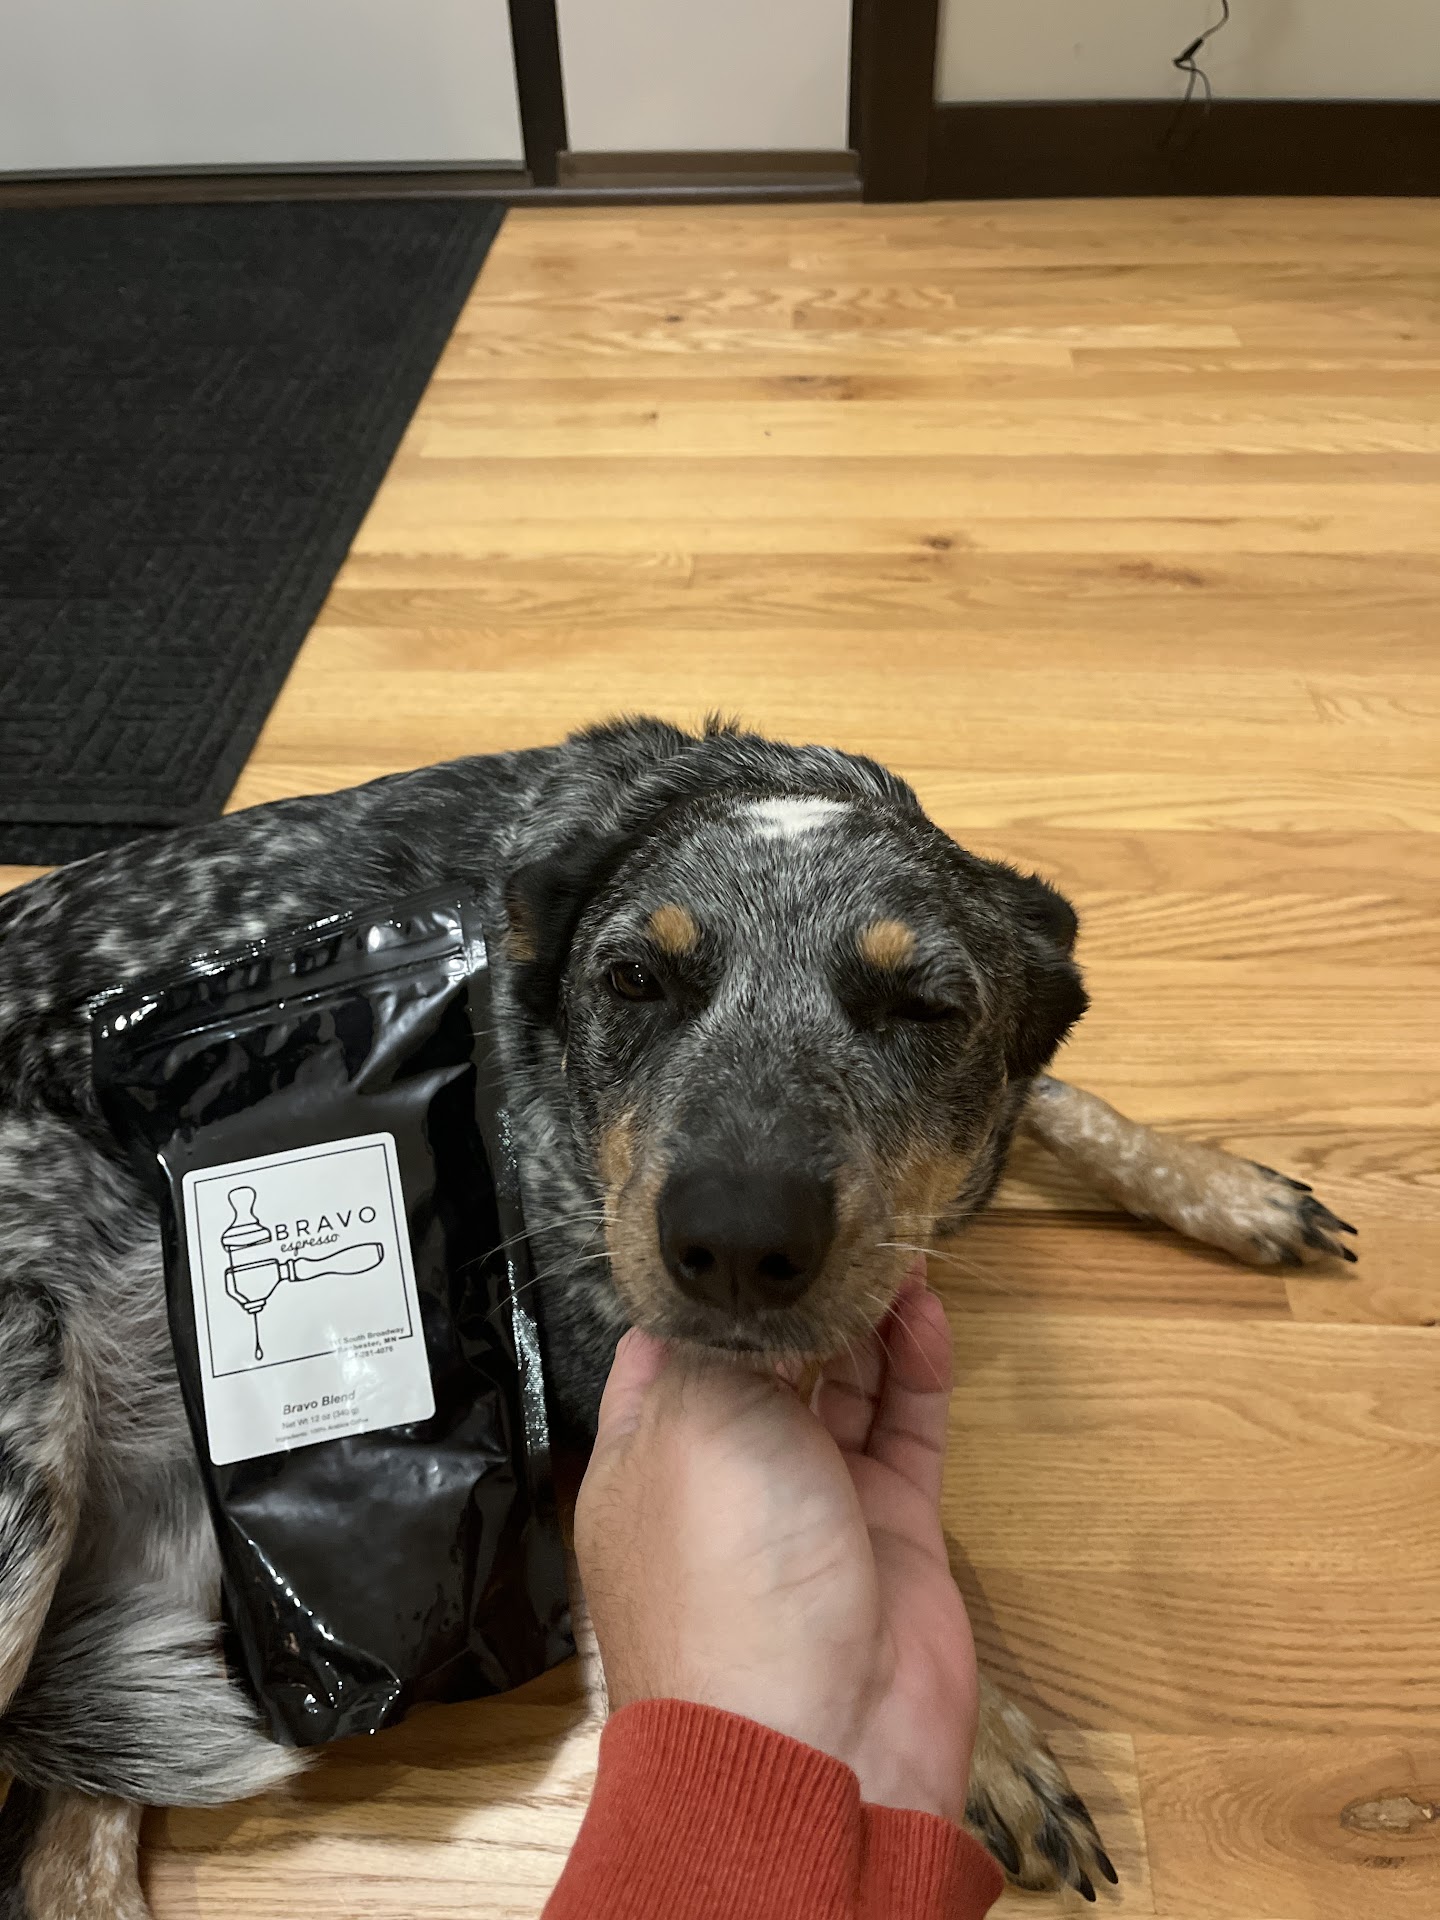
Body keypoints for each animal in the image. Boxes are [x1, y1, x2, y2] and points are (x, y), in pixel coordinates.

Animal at [0, 716, 1356, 1917]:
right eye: (634, 980)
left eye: (926, 1009)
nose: (740, 1240)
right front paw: (994, 1741)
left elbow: (1070, 1098)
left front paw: (1224, 1189)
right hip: (35, 1475)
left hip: (178, 1527)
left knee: (70, 1849)